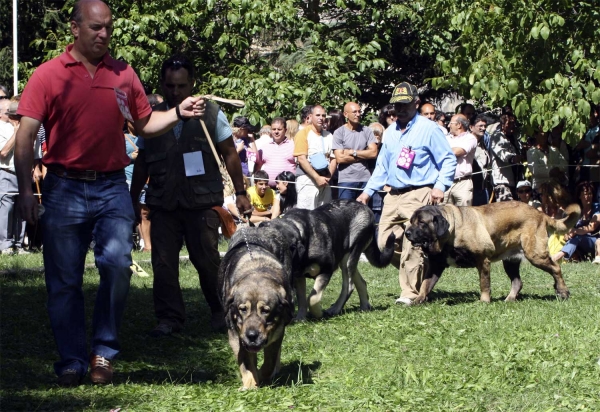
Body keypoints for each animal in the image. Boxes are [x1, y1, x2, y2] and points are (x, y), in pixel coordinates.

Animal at [404, 201, 580, 304]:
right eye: (410, 222)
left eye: (421, 223)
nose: (407, 233)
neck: (451, 233)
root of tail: (540, 213)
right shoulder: (435, 266)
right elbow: (425, 284)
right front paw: (418, 300)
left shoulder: (482, 260)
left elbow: (484, 283)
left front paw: (484, 301)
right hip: (510, 261)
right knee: (517, 282)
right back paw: (509, 299)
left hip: (536, 255)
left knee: (556, 268)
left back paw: (563, 291)